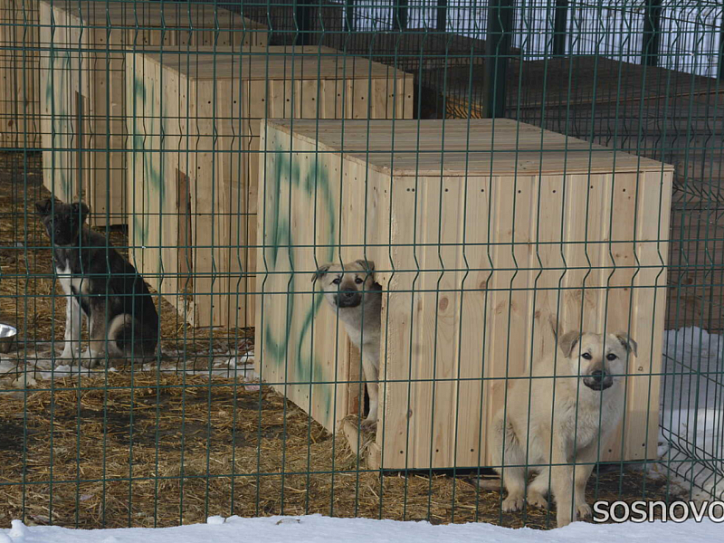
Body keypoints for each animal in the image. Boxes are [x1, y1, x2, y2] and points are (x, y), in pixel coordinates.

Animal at [35, 198, 158, 368]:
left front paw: (89, 358)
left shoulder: (101, 299)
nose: (60, 233)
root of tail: (154, 347)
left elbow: (95, 334)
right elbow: (70, 332)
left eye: (71, 220)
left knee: (138, 357)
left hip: (121, 320)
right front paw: (66, 356)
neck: (69, 253)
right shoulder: (72, 299)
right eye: (52, 221)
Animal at [312, 262, 382, 432]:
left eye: (358, 280)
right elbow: (373, 390)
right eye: (336, 280)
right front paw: (372, 419)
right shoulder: (366, 356)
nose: (349, 293)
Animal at [490, 324, 636, 528]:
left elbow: (579, 479)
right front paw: (566, 522)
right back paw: (514, 499)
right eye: (586, 355)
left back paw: (535, 497)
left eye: (611, 356)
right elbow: (564, 484)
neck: (587, 402)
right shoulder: (556, 438)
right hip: (503, 436)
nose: (598, 375)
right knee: (516, 482)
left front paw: (579, 505)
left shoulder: (595, 442)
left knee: (533, 485)